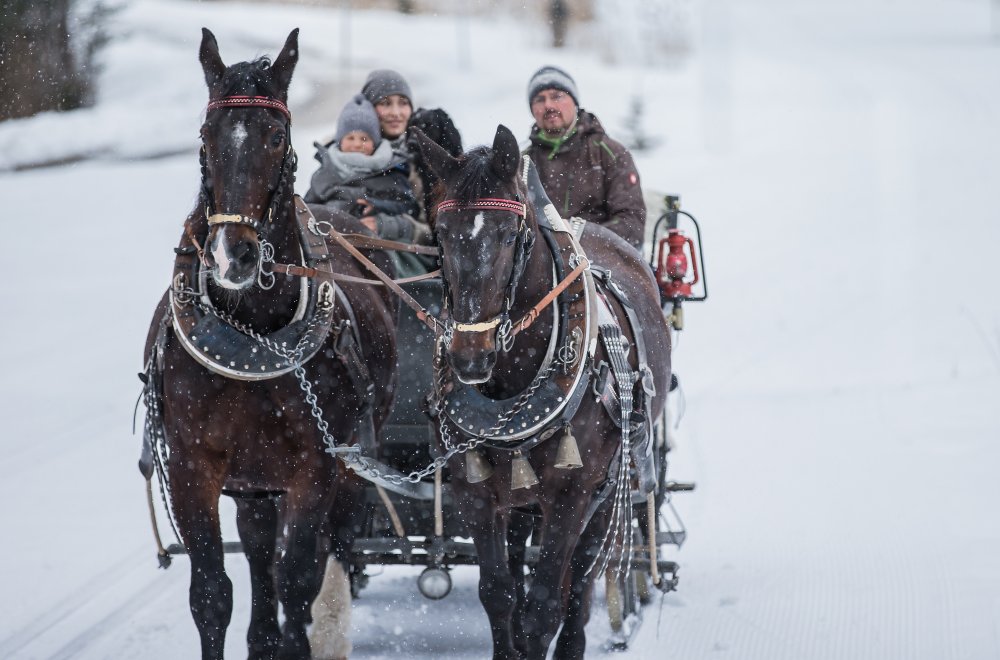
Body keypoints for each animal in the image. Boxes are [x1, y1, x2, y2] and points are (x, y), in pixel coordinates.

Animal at [143, 28, 396, 656]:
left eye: (276, 136)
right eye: (206, 135)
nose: (232, 256)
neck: (249, 332)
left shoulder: (316, 468)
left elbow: (298, 580)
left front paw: (297, 635)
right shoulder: (192, 467)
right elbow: (212, 594)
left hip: (344, 470)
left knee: (320, 554)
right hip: (254, 481)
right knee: (258, 549)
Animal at [414, 126, 672, 656]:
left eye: (509, 235)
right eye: (441, 234)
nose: (469, 356)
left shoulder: (573, 491)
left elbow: (546, 605)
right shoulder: (475, 492)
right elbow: (498, 593)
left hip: (607, 489)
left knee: (582, 581)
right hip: (519, 495)